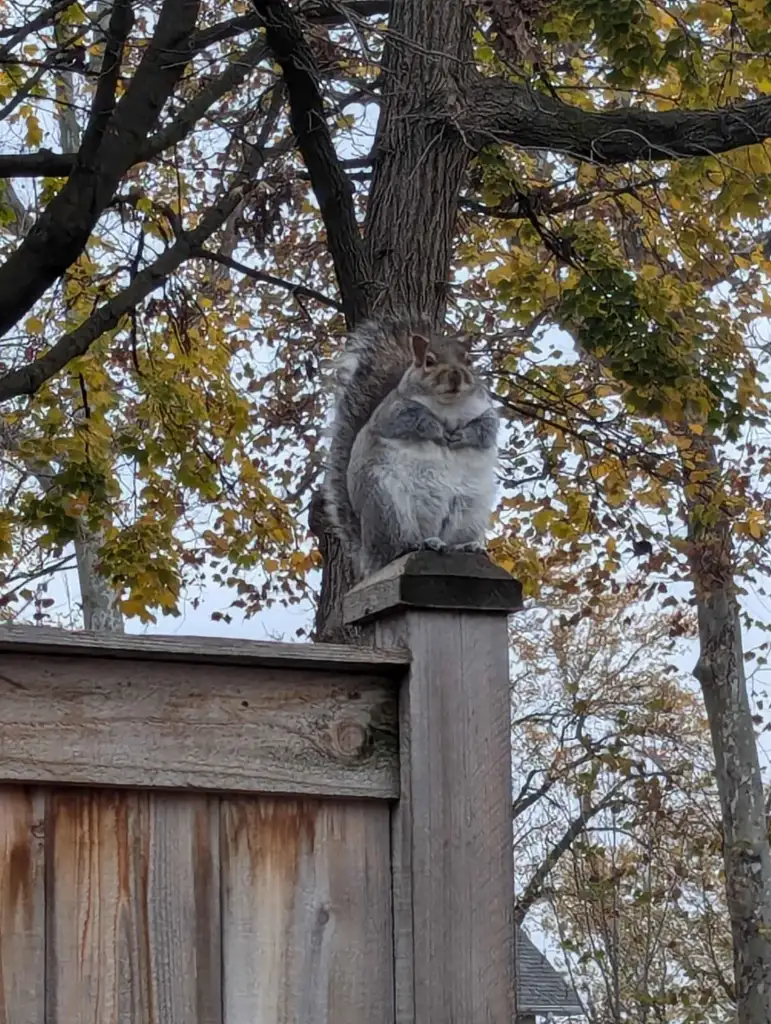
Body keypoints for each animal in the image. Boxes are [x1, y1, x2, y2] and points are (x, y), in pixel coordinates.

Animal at [319, 315, 495, 581]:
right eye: (429, 362)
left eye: (469, 360)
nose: (455, 376)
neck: (449, 406)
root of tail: (368, 558)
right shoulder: (394, 411)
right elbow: (412, 422)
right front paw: (438, 431)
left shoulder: (486, 412)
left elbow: (486, 431)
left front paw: (461, 436)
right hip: (386, 504)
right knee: (395, 547)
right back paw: (421, 543)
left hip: (469, 511)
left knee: (454, 539)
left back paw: (467, 546)